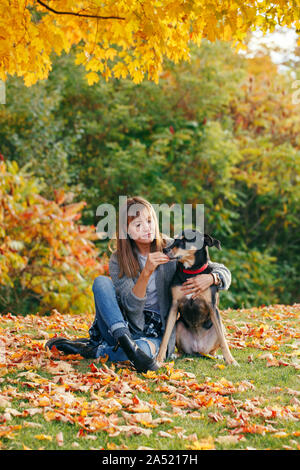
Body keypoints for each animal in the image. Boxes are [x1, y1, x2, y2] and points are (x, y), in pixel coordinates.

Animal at [156, 229, 238, 368]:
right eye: (175, 239)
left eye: (185, 240)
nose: (165, 250)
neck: (191, 272)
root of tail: (198, 350)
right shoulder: (173, 306)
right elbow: (165, 337)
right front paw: (158, 359)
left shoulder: (212, 307)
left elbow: (223, 340)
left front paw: (230, 360)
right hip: (178, 325)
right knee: (182, 350)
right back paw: (176, 355)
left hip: (220, 327)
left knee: (215, 346)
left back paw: (217, 356)